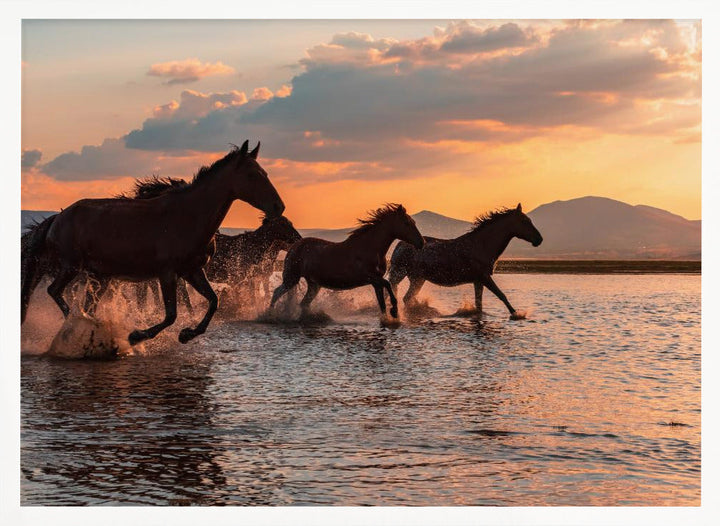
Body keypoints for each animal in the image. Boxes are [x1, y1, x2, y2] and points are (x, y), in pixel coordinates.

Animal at [21, 140, 285, 344]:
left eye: (266, 173)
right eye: (252, 175)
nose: (278, 207)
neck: (188, 216)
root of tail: (57, 218)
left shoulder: (192, 271)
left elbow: (213, 301)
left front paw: (187, 334)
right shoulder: (167, 273)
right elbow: (170, 315)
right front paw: (136, 336)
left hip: (100, 276)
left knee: (86, 304)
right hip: (72, 266)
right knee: (54, 291)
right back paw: (79, 325)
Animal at [270, 204, 424, 319]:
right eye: (407, 223)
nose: (421, 242)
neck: (370, 248)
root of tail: (294, 246)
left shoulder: (376, 282)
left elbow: (382, 303)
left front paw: (388, 317)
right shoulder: (370, 278)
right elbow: (388, 284)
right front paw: (395, 311)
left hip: (314, 285)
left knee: (303, 304)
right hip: (291, 278)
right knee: (277, 293)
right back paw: (269, 314)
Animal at [387, 203, 543, 318]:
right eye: (524, 221)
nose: (539, 239)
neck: (482, 245)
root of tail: (400, 244)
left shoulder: (478, 281)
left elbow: (479, 305)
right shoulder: (484, 277)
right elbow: (502, 296)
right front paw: (517, 314)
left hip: (416, 278)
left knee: (405, 297)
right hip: (405, 275)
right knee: (404, 297)